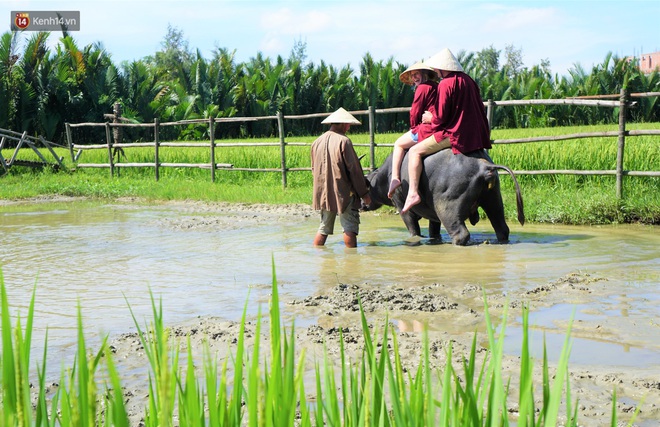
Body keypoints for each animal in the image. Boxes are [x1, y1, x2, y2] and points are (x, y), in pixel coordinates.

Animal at [364, 149, 524, 246]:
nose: (361, 205)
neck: (386, 177)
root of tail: (484, 167)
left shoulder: (402, 207)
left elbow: (414, 231)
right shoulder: (433, 216)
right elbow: (433, 231)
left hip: (447, 207)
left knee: (461, 234)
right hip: (494, 200)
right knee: (502, 228)